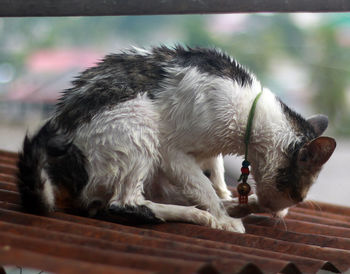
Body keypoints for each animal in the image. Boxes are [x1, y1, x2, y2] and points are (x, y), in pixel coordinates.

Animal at [17, 46, 336, 232]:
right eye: (299, 196)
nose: (283, 211)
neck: (251, 115)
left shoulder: (208, 153)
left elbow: (215, 174)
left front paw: (226, 197)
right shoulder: (172, 152)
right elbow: (203, 187)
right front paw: (222, 217)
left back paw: (235, 206)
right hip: (138, 120)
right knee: (122, 204)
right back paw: (204, 216)